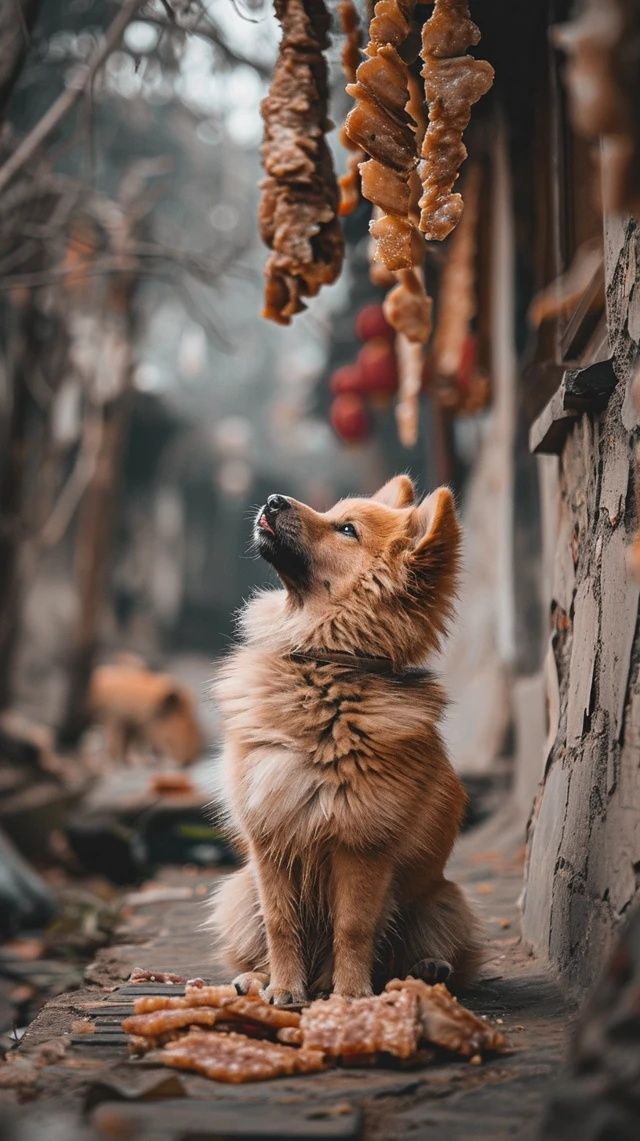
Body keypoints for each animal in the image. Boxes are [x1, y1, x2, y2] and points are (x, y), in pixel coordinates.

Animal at [209, 476, 479, 1004]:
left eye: (347, 529)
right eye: (334, 513)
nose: (273, 499)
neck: (323, 665)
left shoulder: (361, 847)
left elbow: (352, 928)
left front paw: (351, 995)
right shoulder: (269, 842)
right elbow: (280, 924)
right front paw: (285, 989)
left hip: (442, 900)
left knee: (435, 951)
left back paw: (426, 968)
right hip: (239, 889)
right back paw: (256, 979)